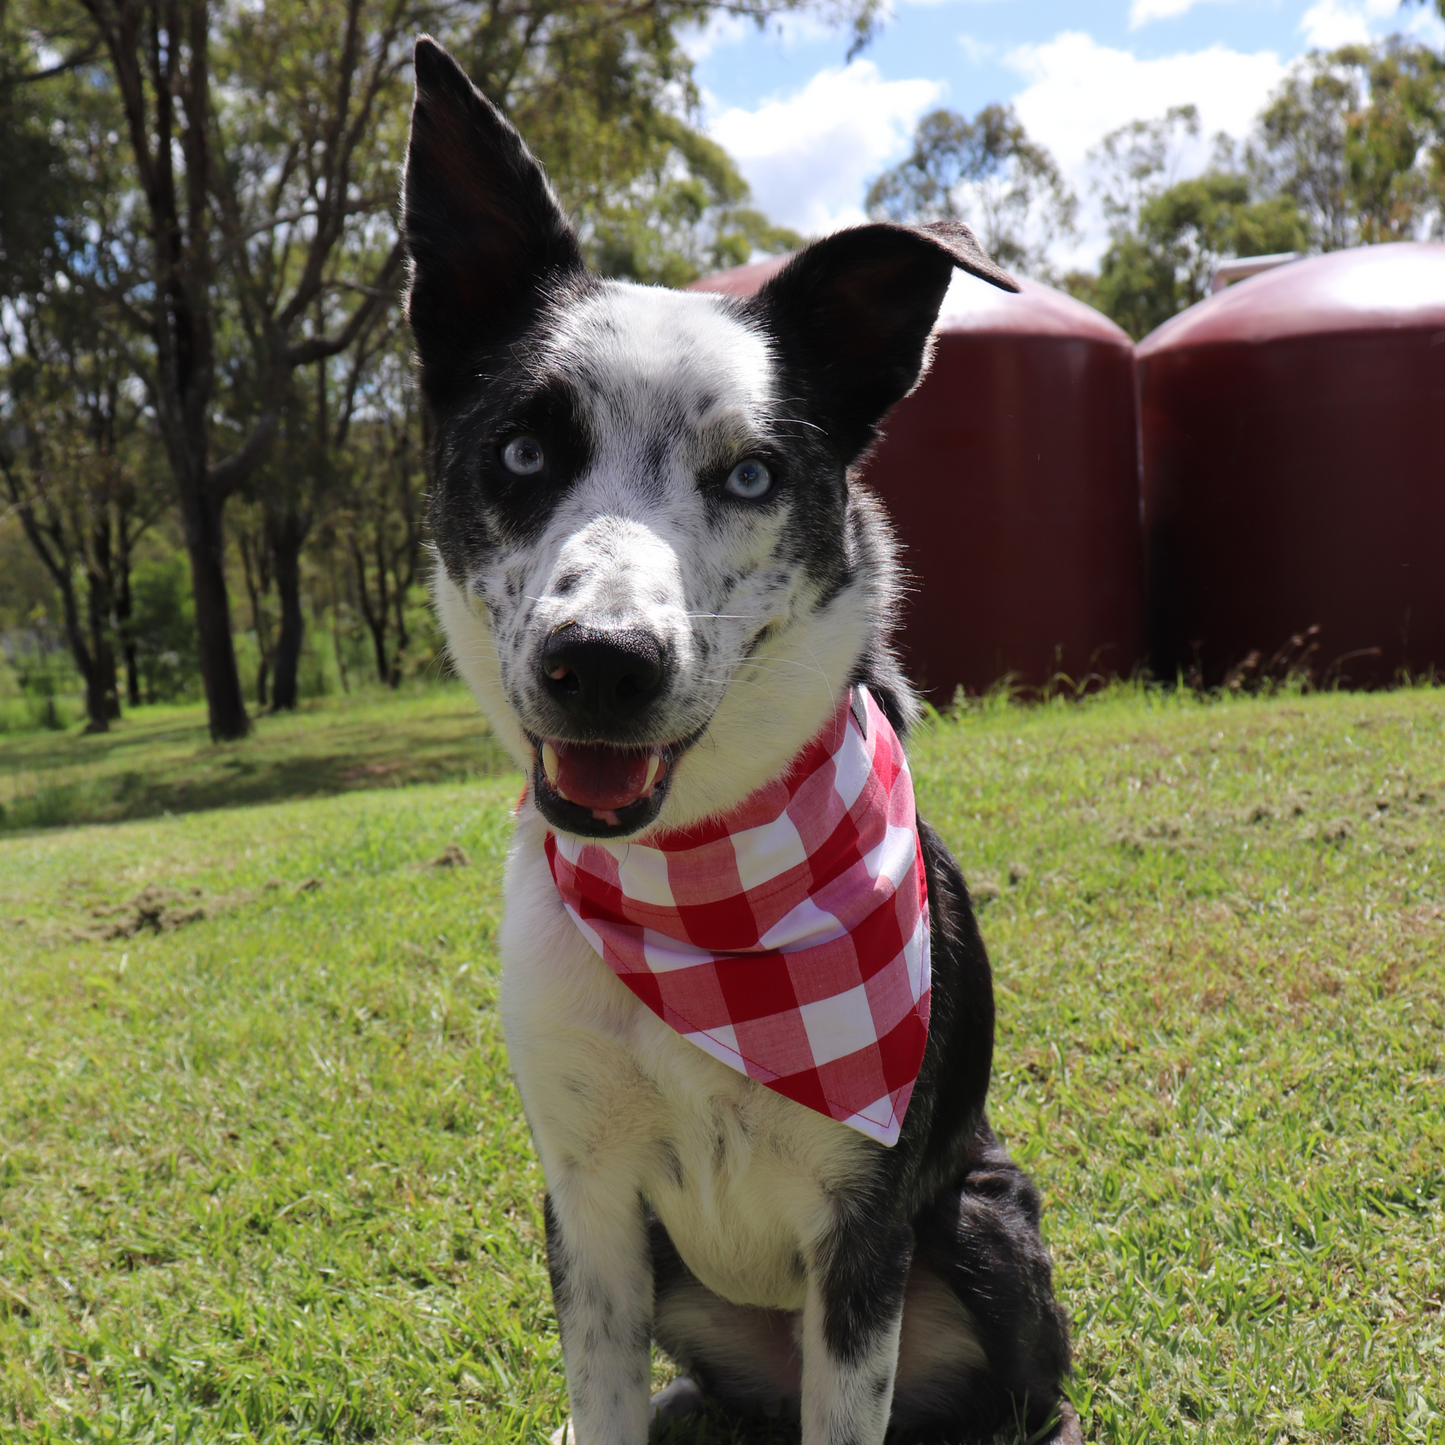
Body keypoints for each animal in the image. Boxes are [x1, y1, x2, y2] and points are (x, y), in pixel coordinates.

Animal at [401, 33, 1080, 1445]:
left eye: (752, 476)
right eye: (523, 451)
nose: (601, 663)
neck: (696, 884)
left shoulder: (861, 1228)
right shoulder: (587, 1207)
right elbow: (601, 1391)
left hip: (984, 1219)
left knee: (1023, 1401)